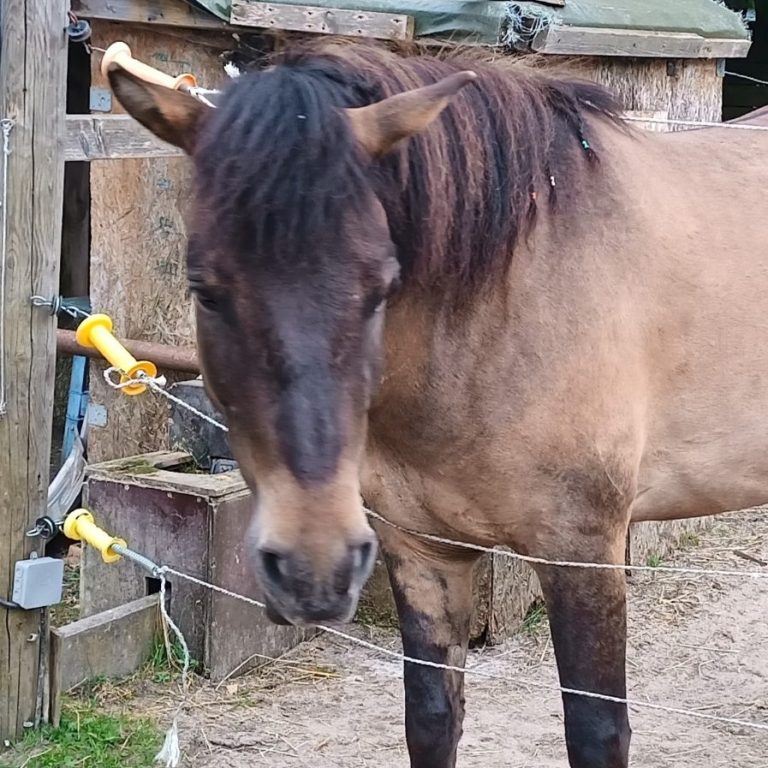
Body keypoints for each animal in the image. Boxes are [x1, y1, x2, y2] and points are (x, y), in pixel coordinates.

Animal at [106, 40, 768, 768]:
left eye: (381, 285)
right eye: (204, 288)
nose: (313, 568)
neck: (501, 307)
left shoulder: (583, 554)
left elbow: (597, 731)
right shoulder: (423, 554)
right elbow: (431, 717)